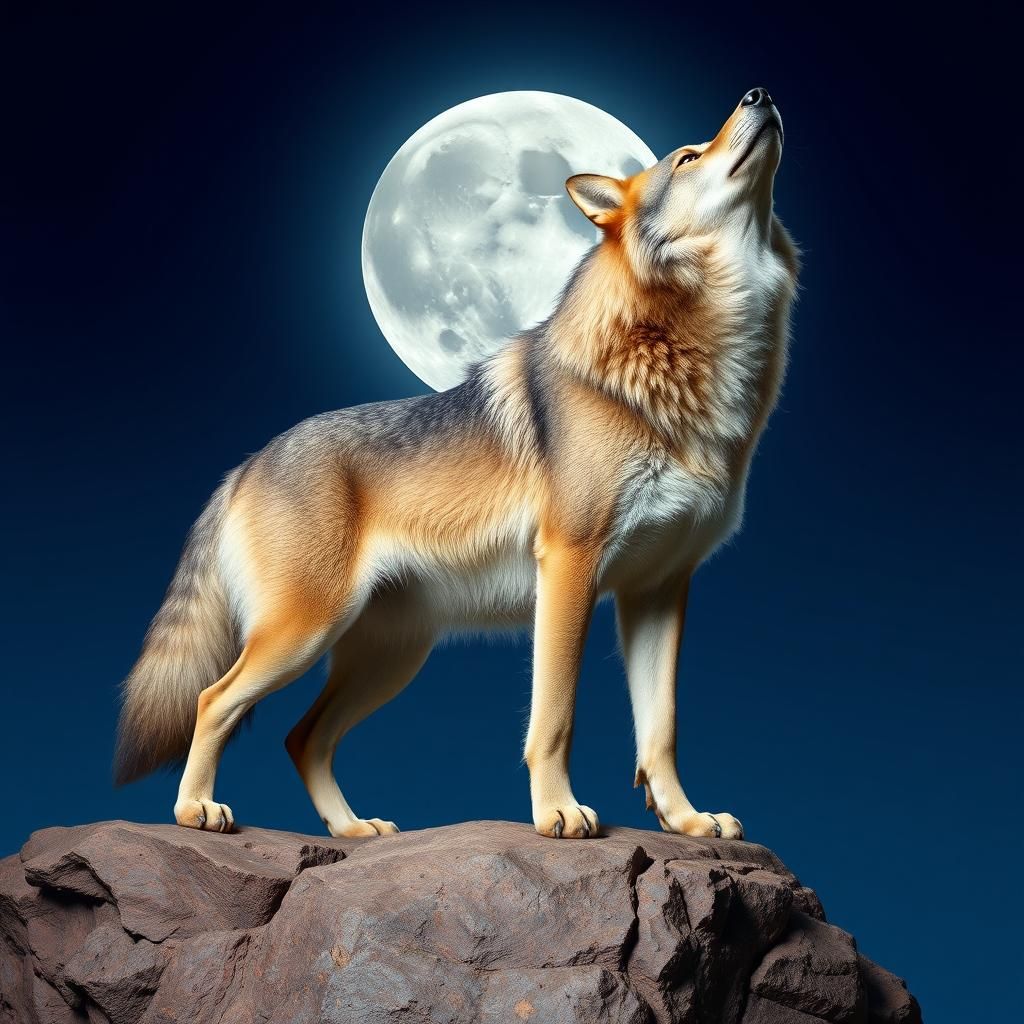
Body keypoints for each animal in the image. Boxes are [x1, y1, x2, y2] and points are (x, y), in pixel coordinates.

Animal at [115, 88, 798, 841]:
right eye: (686, 157)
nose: (759, 94)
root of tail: (244, 464)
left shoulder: (659, 589)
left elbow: (662, 729)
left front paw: (686, 821)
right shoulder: (571, 565)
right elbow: (555, 716)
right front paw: (557, 813)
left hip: (388, 659)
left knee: (303, 737)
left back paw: (353, 832)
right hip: (305, 633)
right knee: (214, 701)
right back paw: (195, 811)